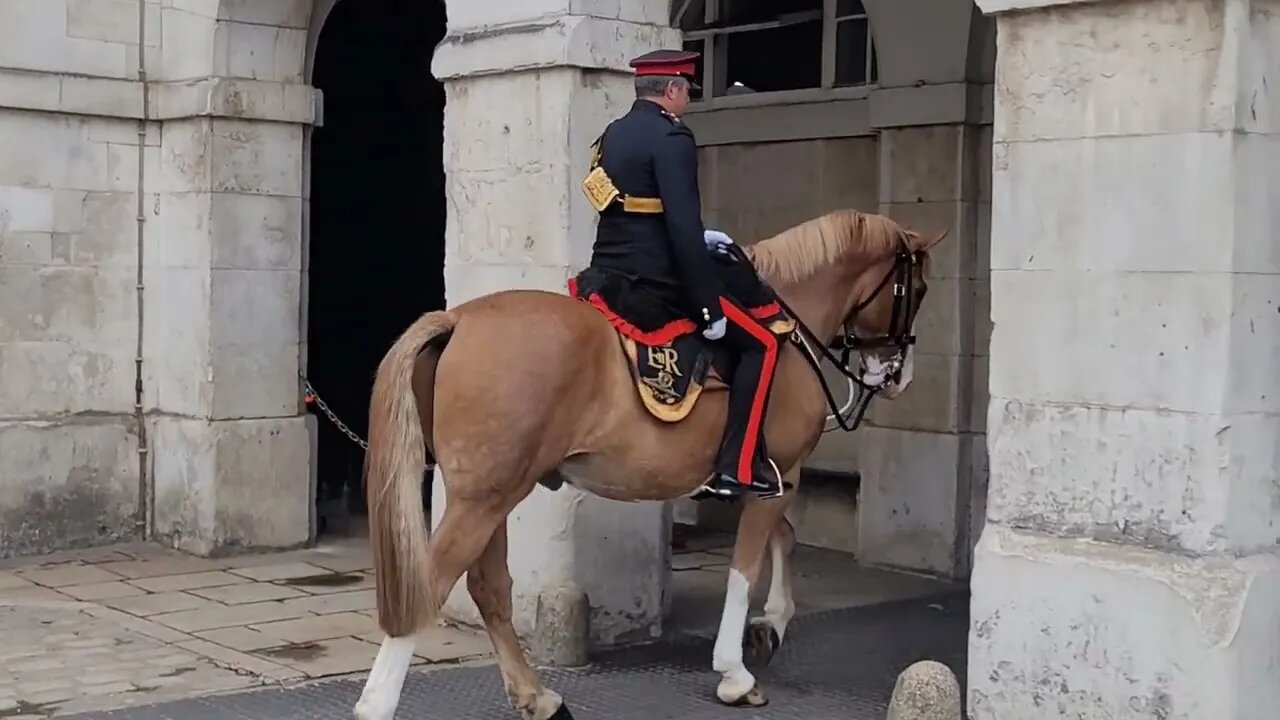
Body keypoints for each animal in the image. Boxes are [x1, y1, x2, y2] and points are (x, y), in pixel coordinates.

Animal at [355, 208, 947, 717]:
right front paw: (735, 672)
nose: (898, 376)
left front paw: (771, 625)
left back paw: (537, 696)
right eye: (917, 289)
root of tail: (456, 317)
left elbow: (784, 539)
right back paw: (377, 704)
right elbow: (747, 565)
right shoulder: (780, 473)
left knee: (488, 588)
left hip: (489, 494)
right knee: (428, 588)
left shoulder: (767, 477)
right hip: (485, 497)